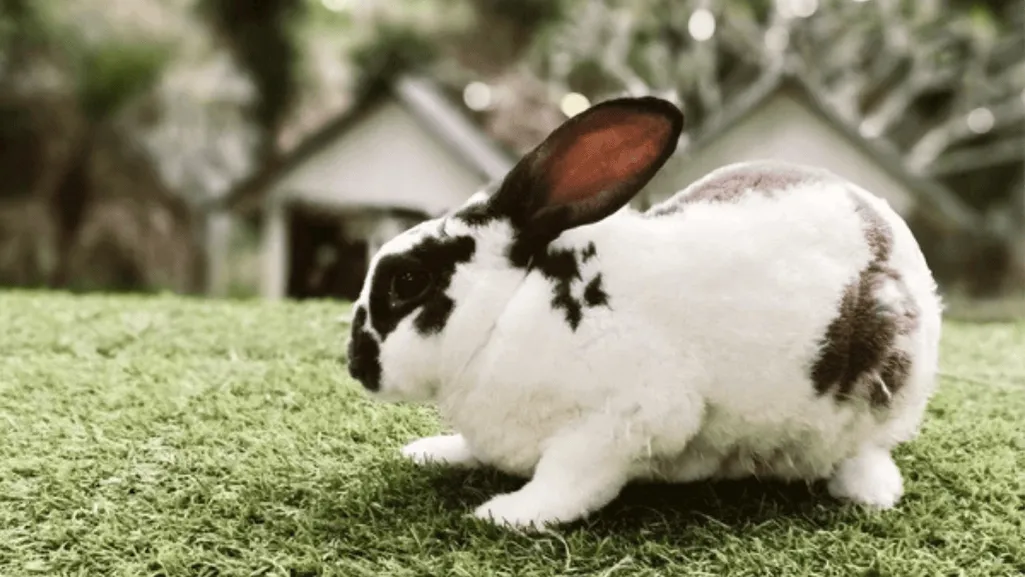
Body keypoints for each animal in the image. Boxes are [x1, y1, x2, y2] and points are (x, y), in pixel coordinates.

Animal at [345, 95, 943, 531]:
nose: (355, 364)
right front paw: (430, 451)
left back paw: (867, 491)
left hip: (879, 384)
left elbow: (567, 481)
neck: (506, 310)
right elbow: (473, 449)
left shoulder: (625, 420)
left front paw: (506, 513)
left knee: (866, 449)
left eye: (408, 281)